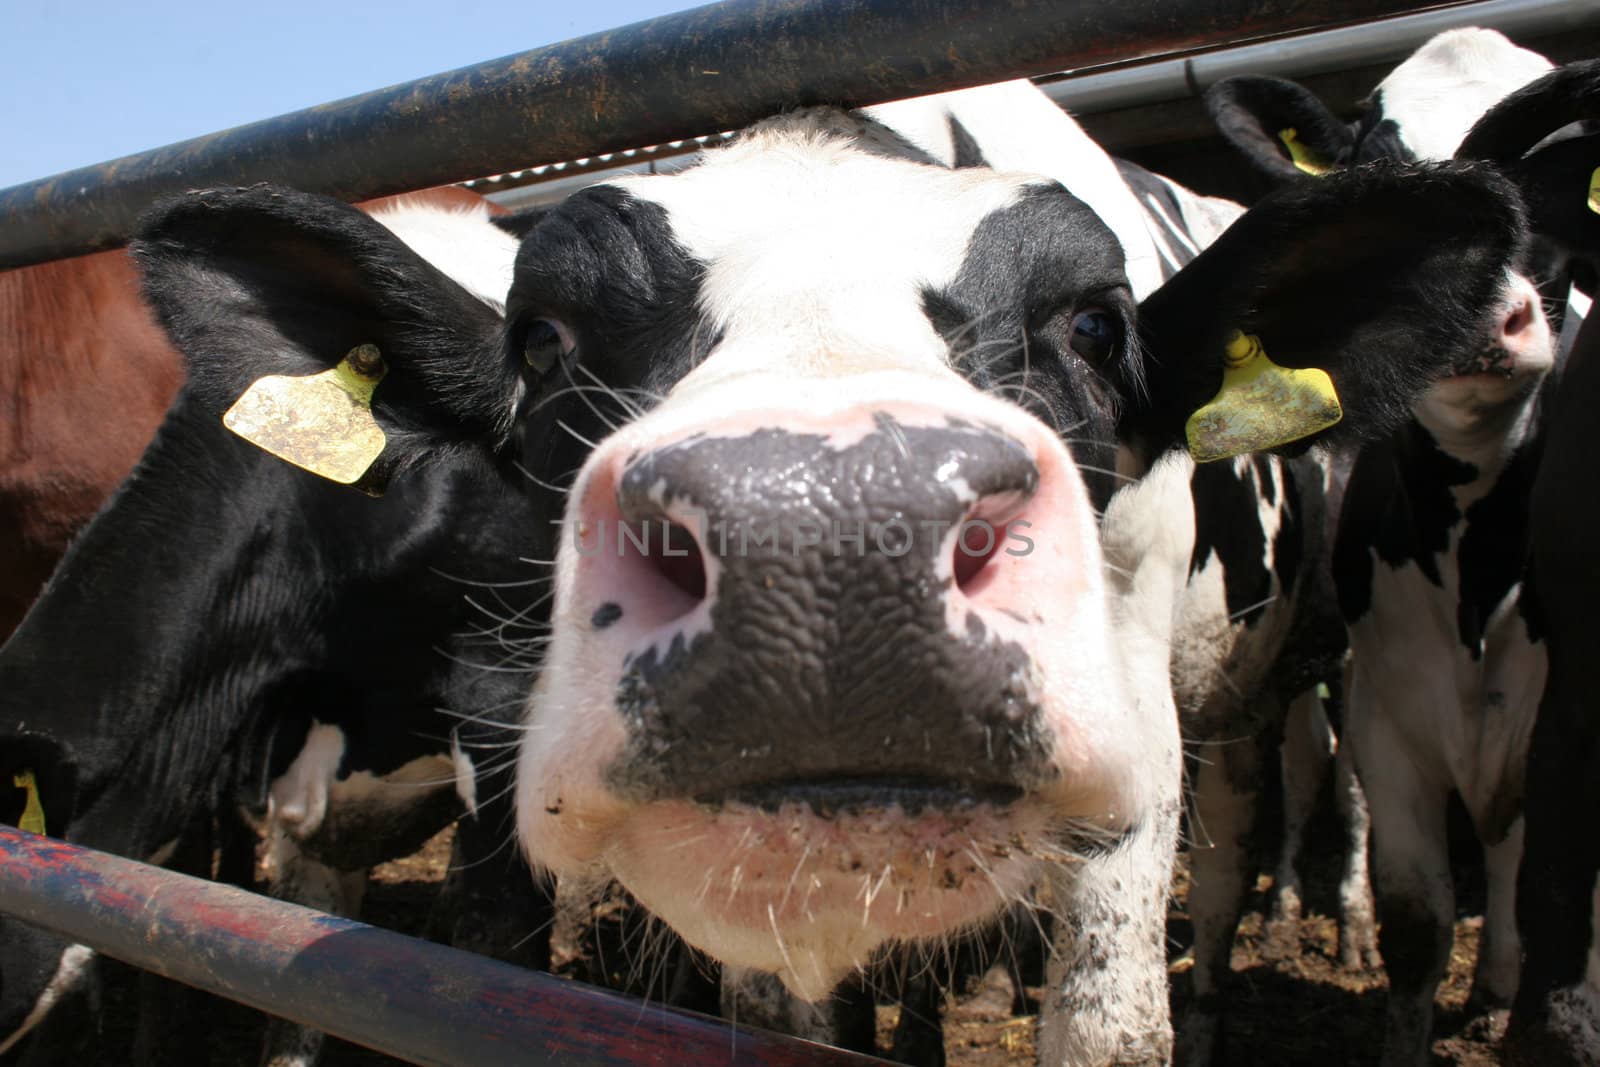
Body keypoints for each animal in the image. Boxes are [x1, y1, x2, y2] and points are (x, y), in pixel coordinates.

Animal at [103, 68, 1536, 1067]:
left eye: (1091, 324)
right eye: (543, 339)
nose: (825, 539)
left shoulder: (1134, 731)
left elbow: (1110, 1023)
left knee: (1245, 837)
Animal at [1203, 27, 1580, 1067]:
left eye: (1540, 181)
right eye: (1376, 197)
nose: (1474, 322)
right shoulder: (1389, 704)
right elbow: (1418, 919)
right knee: (1307, 765)